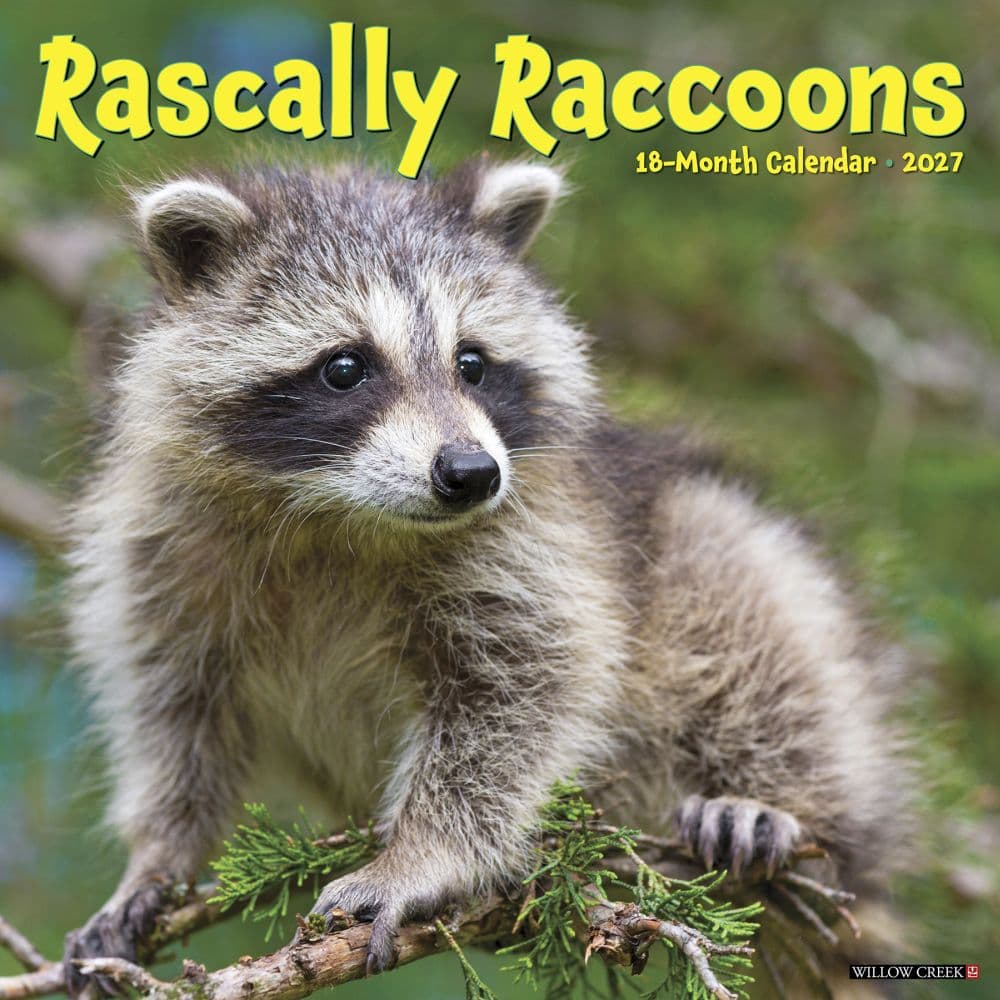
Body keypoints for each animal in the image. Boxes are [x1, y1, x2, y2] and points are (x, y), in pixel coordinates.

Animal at [64, 157, 908, 990]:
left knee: (753, 610)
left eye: (471, 362)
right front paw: (159, 855)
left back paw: (782, 804)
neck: (340, 513)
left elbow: (524, 692)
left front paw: (419, 855)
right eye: (345, 367)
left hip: (722, 567)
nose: (470, 473)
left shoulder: (540, 540)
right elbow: (175, 713)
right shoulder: (165, 548)